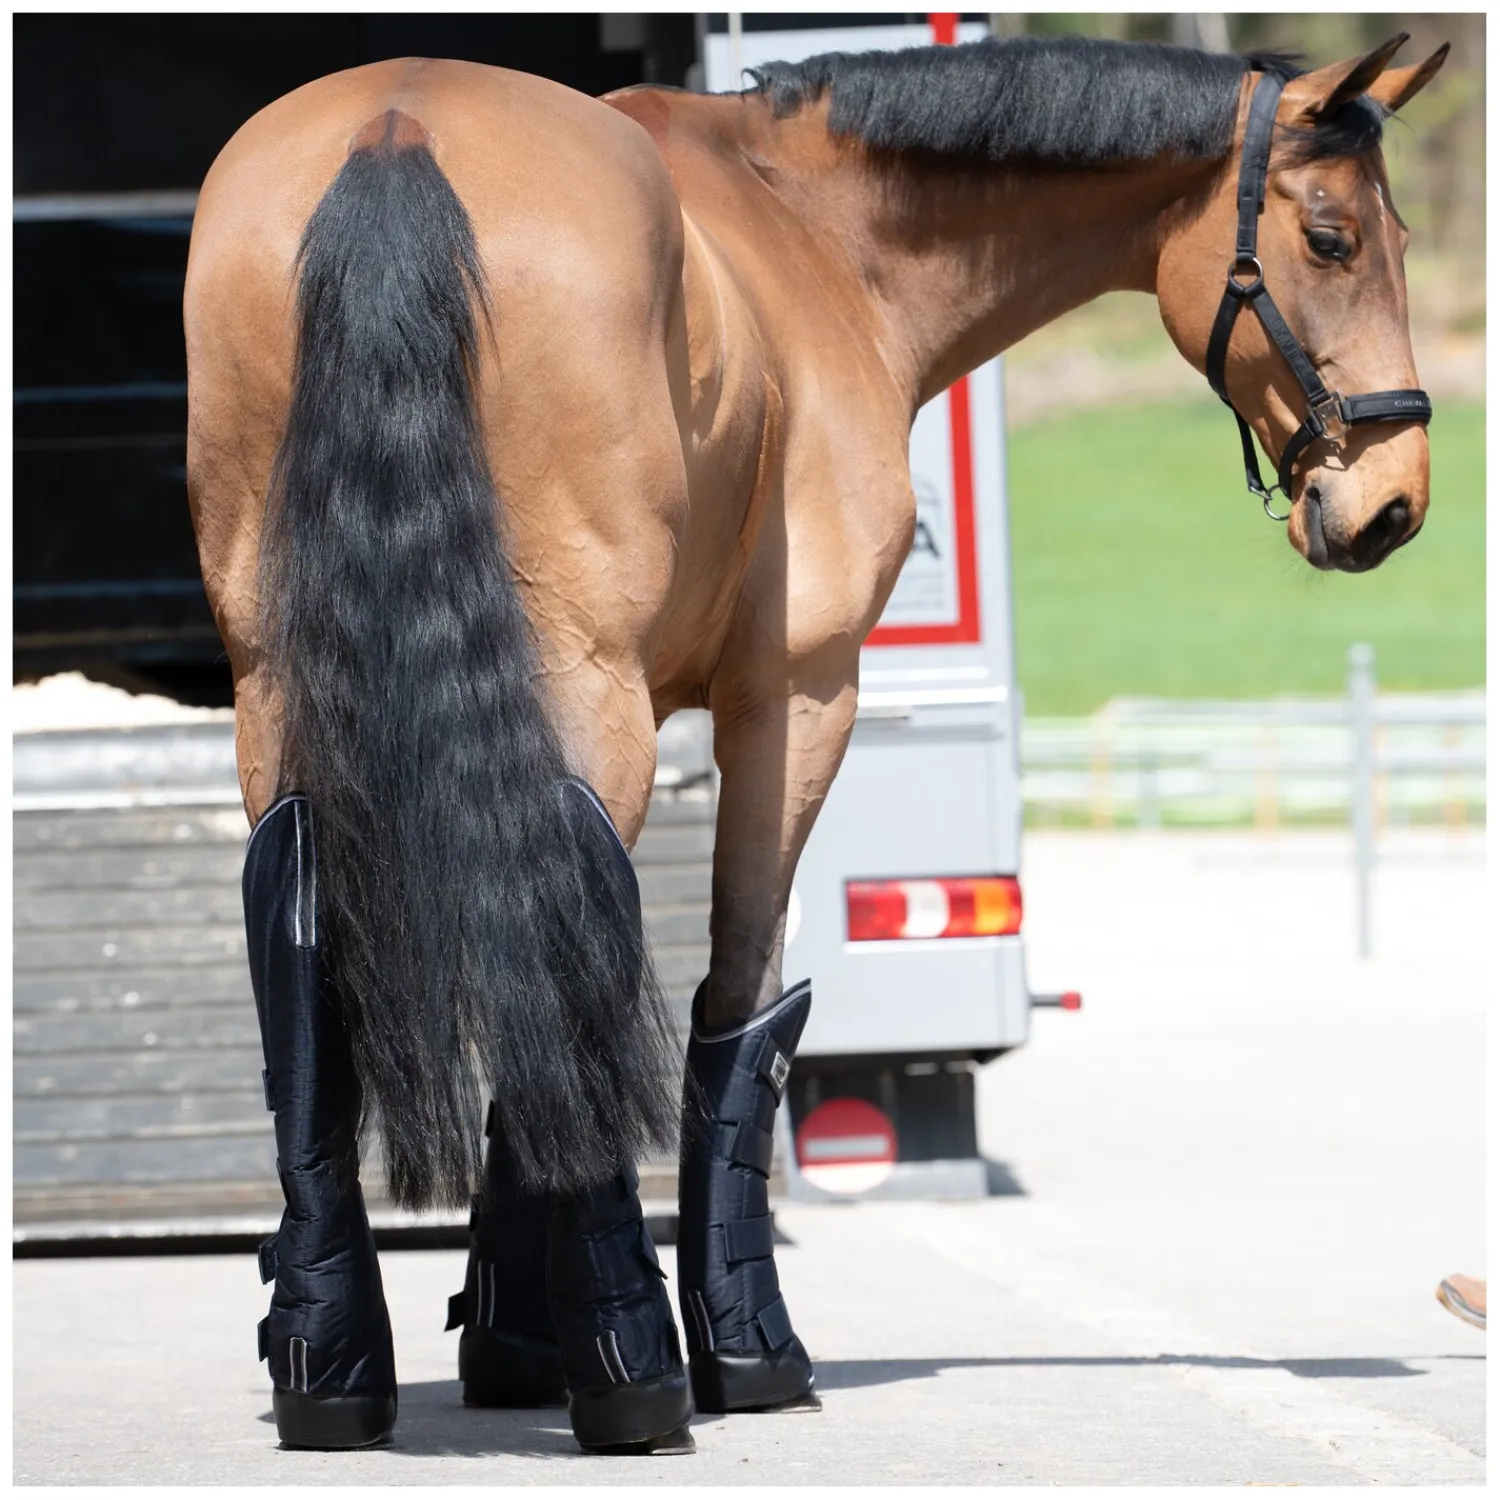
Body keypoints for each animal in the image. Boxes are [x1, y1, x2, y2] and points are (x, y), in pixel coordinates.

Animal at [184, 32, 1446, 1454]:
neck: (813, 234)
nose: (1394, 501)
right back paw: (635, 1376)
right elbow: (739, 1003)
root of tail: (400, 126)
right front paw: (738, 1351)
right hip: (586, 684)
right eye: (1332, 238)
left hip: (284, 689)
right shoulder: (794, 693)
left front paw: (513, 1343)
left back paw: (332, 1368)